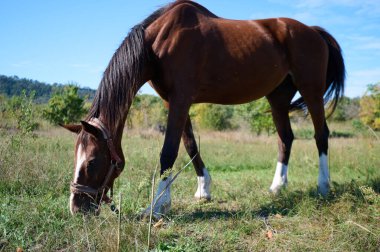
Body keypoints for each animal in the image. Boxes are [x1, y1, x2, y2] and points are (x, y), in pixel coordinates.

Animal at [62, 0, 344, 217]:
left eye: (92, 162)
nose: (76, 208)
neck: (159, 42)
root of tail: (314, 31)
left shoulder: (180, 99)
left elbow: (168, 151)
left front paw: (156, 207)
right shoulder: (174, 101)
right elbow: (189, 146)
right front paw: (203, 189)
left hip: (312, 91)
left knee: (321, 135)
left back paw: (323, 186)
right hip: (278, 98)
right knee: (286, 138)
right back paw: (277, 187)